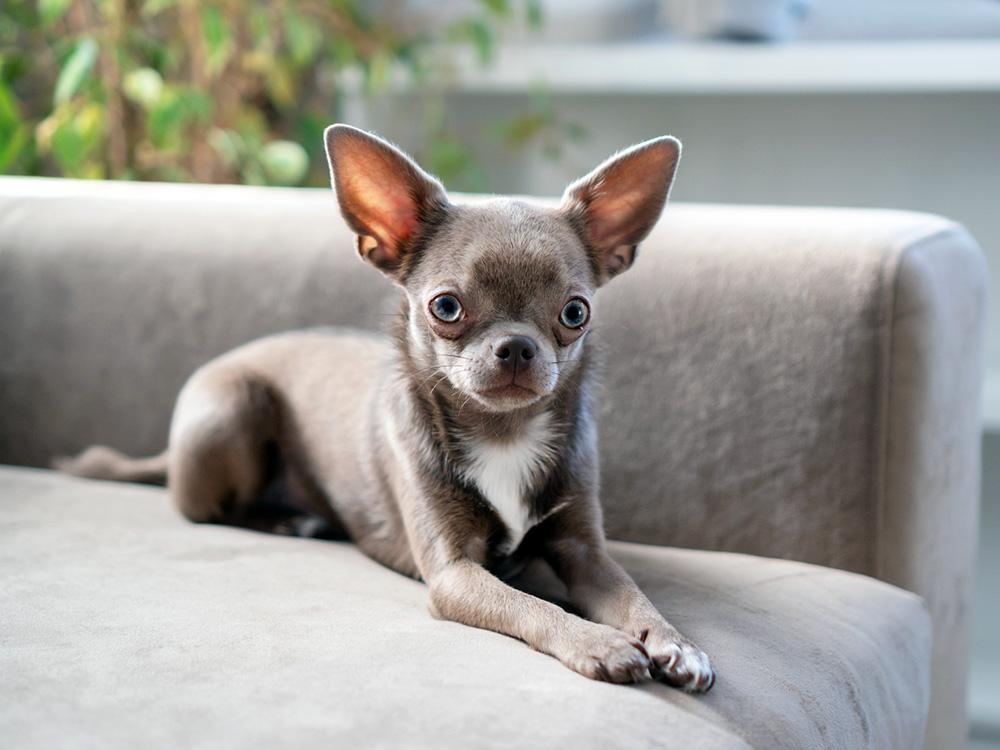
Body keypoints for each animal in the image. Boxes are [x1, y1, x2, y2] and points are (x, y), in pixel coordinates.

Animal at [58, 125, 716, 692]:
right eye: (446, 307)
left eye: (575, 312)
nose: (516, 346)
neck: (503, 433)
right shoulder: (454, 576)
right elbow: (532, 605)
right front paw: (597, 642)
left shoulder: (585, 553)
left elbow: (633, 595)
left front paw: (675, 643)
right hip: (232, 407)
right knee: (205, 512)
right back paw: (291, 521)